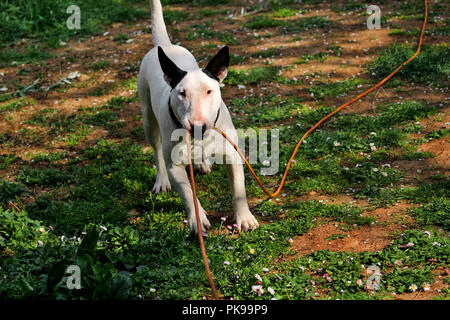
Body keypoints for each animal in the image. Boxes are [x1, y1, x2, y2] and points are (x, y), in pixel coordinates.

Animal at [137, 1, 258, 234]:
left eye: (209, 91)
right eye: (181, 93)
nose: (197, 126)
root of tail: (165, 45)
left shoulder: (232, 155)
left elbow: (238, 189)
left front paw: (244, 218)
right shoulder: (175, 167)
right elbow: (187, 194)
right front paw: (197, 219)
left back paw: (202, 162)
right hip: (148, 118)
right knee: (156, 151)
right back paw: (161, 180)